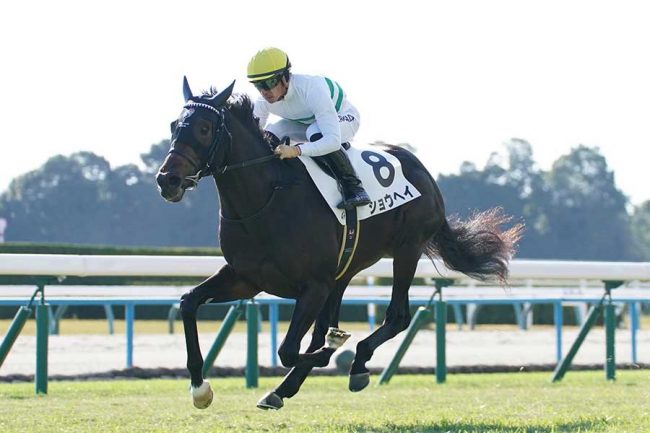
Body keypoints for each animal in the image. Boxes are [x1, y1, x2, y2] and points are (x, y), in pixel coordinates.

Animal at [155, 77, 523, 410]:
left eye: (204, 128)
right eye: (174, 125)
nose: (167, 180)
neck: (265, 199)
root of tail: (424, 173)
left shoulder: (313, 285)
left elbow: (291, 350)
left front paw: (333, 351)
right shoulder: (247, 278)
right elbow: (188, 303)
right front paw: (200, 388)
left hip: (407, 249)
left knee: (398, 316)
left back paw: (356, 363)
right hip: (346, 268)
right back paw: (284, 389)